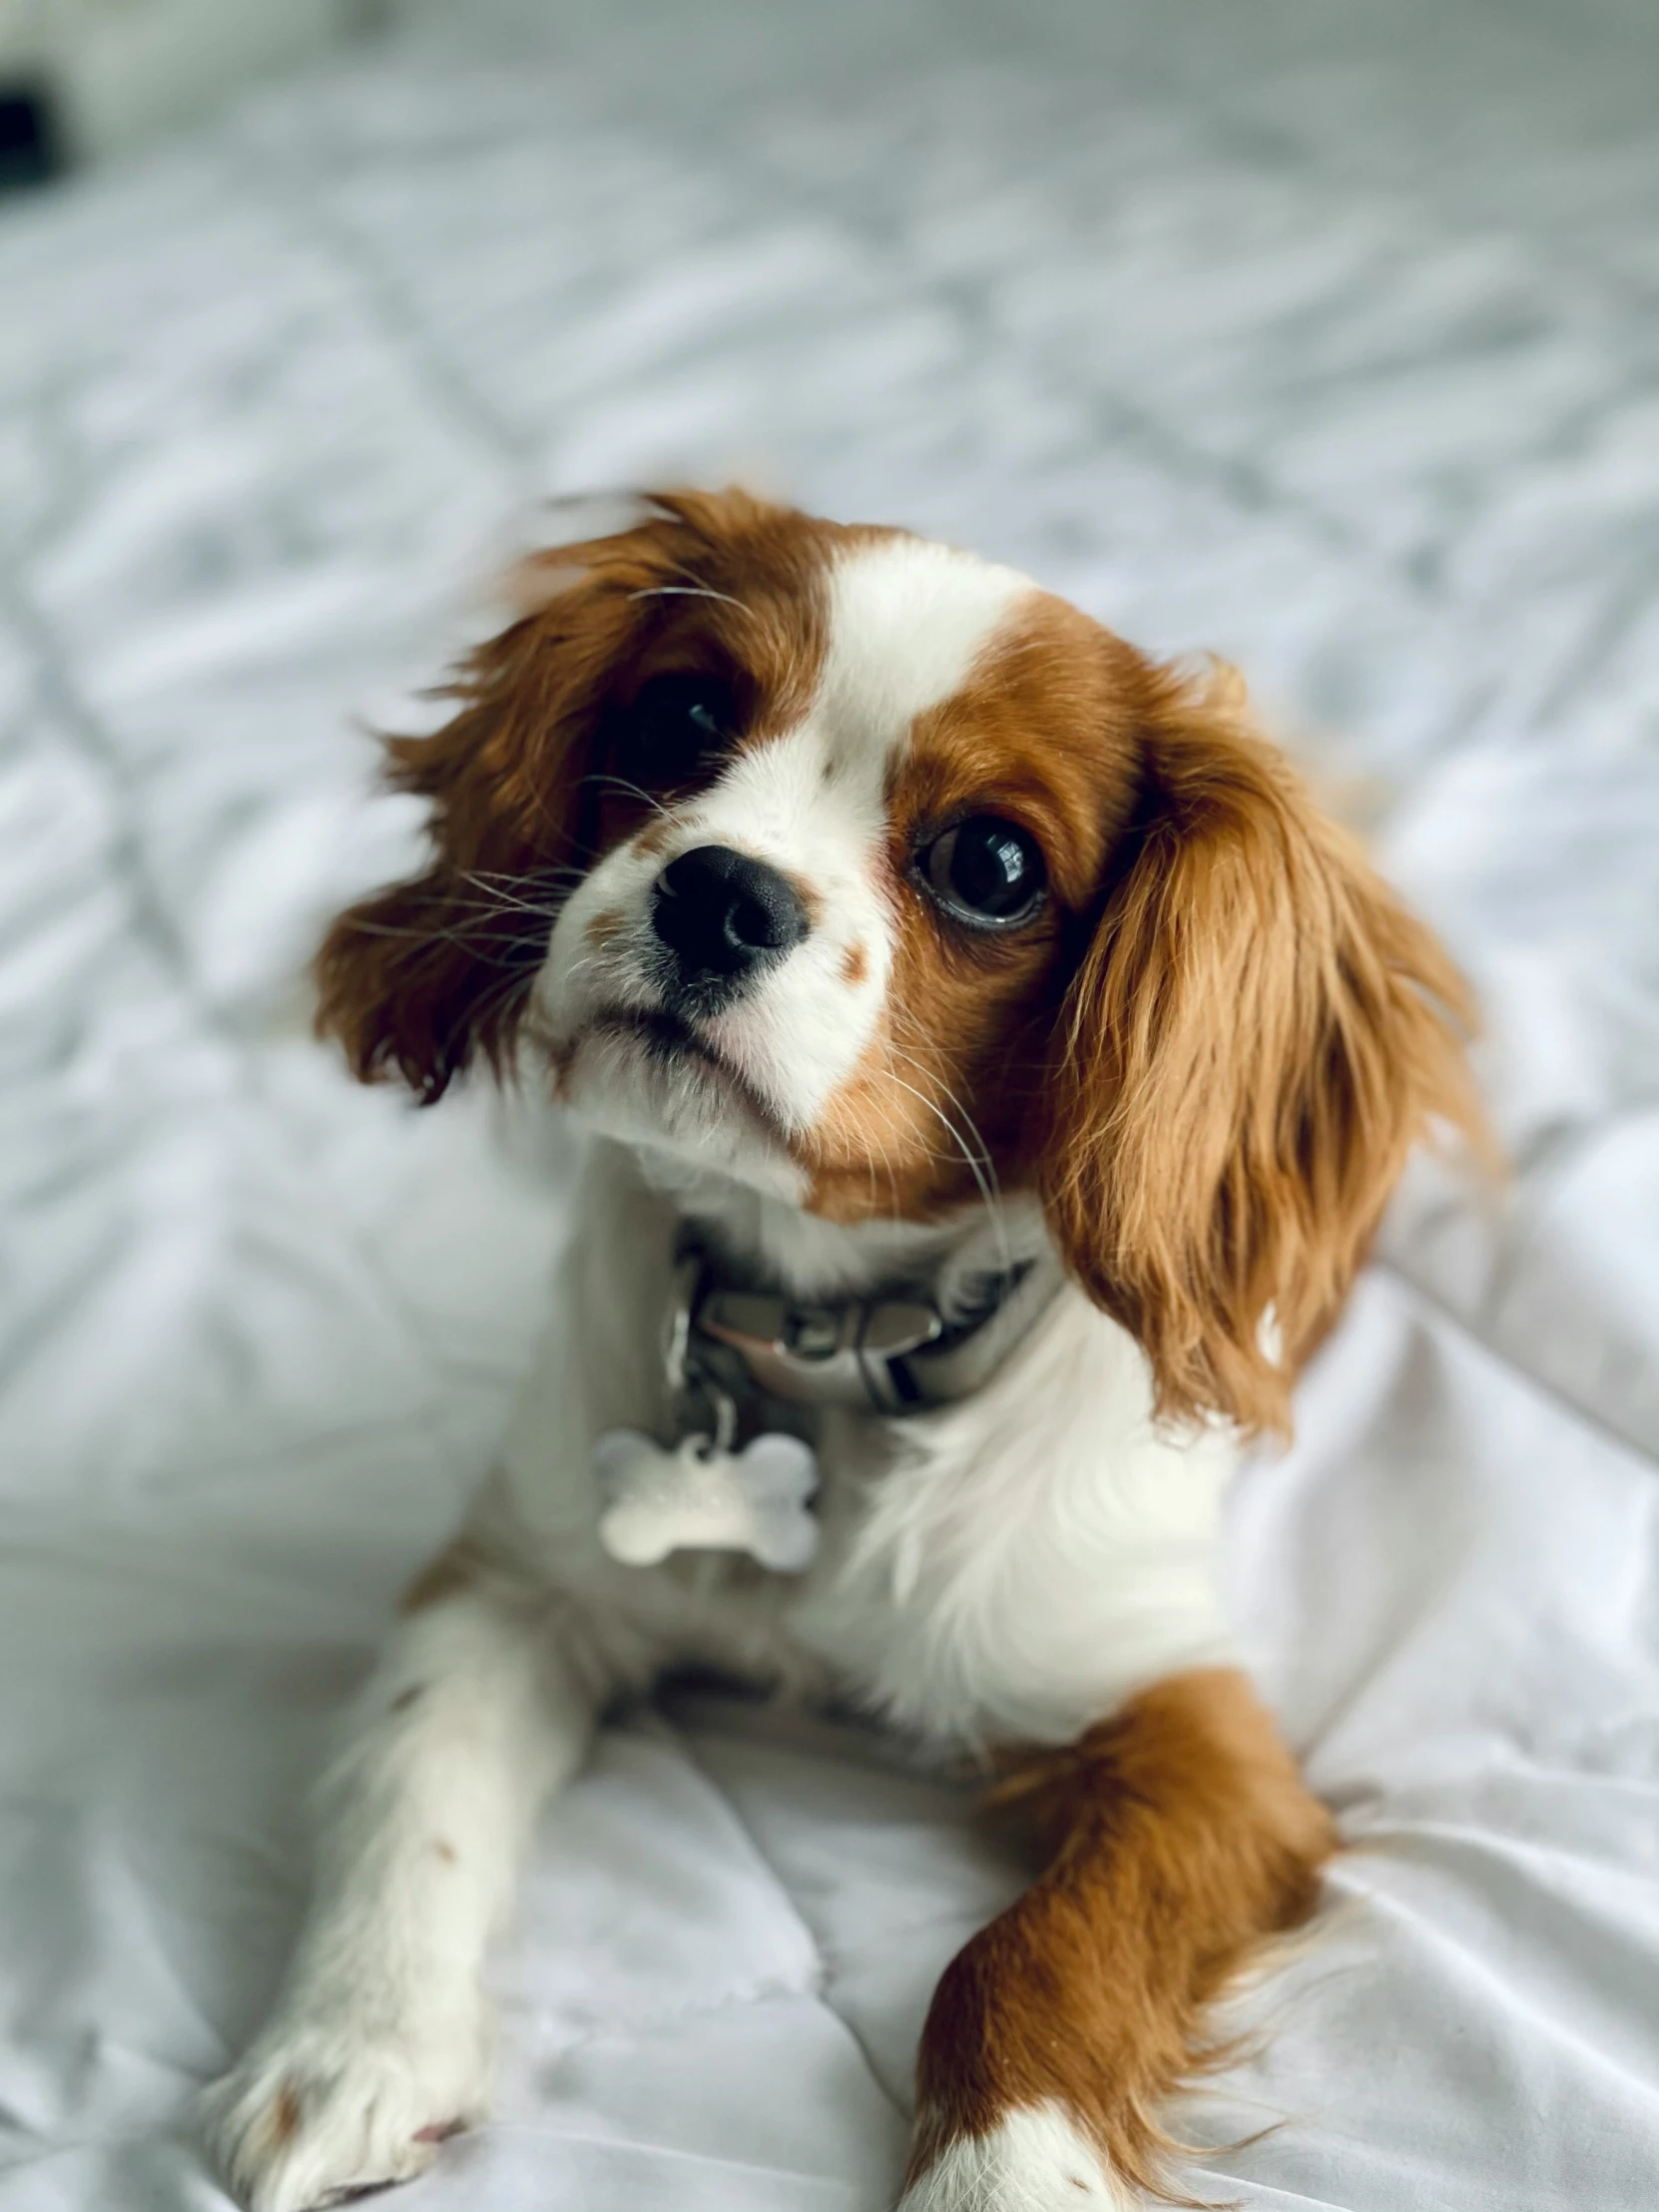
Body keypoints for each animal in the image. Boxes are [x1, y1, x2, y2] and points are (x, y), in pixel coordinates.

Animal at [201, 488, 1486, 2212]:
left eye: (991, 863)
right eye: (682, 716)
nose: (718, 893)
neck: (813, 1344)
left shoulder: (1194, 1739)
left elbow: (1025, 1958)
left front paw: (1009, 2180)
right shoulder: (514, 1584)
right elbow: (416, 1784)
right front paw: (350, 2047)